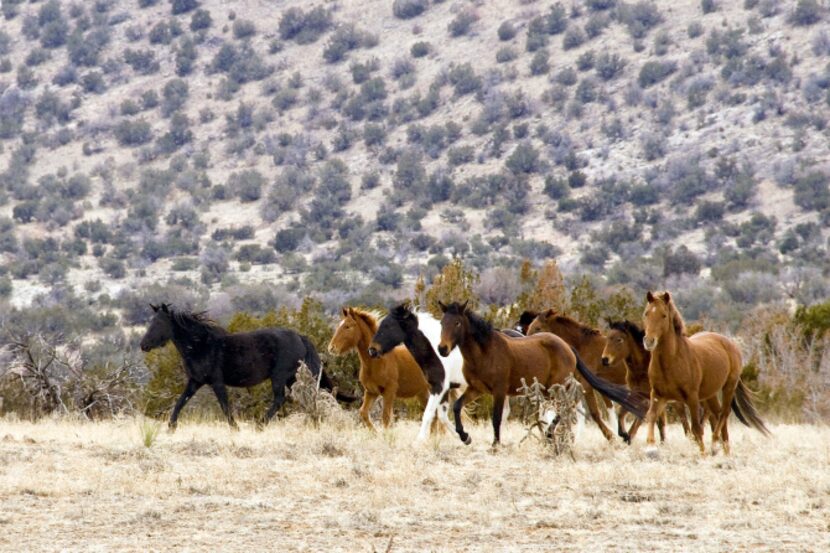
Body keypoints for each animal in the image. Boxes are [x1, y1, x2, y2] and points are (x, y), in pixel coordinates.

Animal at [141, 304, 350, 430]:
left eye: (159, 322)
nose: (143, 345)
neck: (201, 345)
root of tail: (299, 336)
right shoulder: (195, 381)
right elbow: (180, 401)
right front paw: (171, 427)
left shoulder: (216, 382)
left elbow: (225, 406)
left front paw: (236, 428)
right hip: (292, 378)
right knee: (307, 398)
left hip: (280, 376)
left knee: (281, 399)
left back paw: (260, 425)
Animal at [644, 288, 772, 452]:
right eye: (646, 313)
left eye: (663, 315)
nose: (649, 341)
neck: (671, 361)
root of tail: (730, 343)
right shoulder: (658, 395)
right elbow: (651, 417)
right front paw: (650, 446)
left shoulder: (691, 397)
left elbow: (697, 429)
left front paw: (703, 454)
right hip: (710, 394)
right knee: (717, 413)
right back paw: (725, 450)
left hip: (729, 386)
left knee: (724, 412)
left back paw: (715, 444)